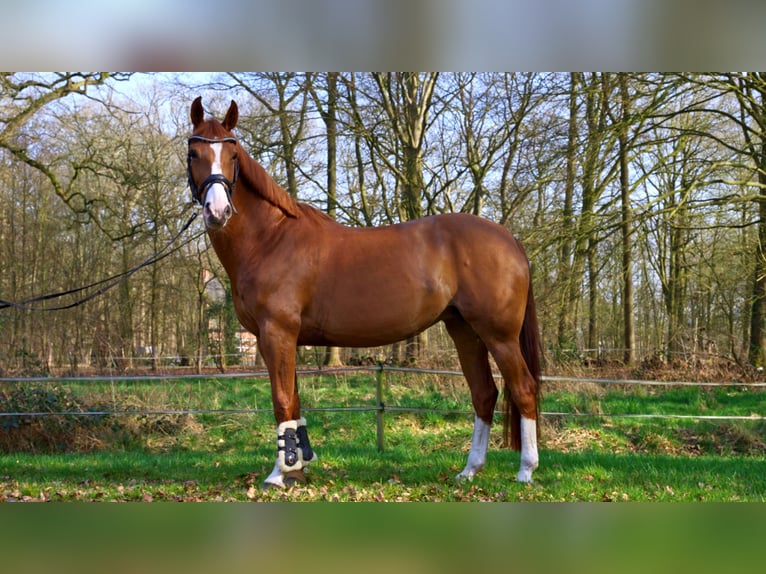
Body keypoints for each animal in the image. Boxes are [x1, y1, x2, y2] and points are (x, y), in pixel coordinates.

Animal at [187, 97, 542, 489]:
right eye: (193, 152)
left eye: (233, 154)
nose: (217, 211)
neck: (270, 240)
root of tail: (509, 239)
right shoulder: (283, 339)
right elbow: (294, 402)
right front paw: (299, 466)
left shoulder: (276, 333)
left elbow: (281, 400)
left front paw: (279, 474)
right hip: (464, 330)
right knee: (484, 393)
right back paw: (470, 469)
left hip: (499, 335)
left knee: (523, 388)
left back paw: (526, 470)